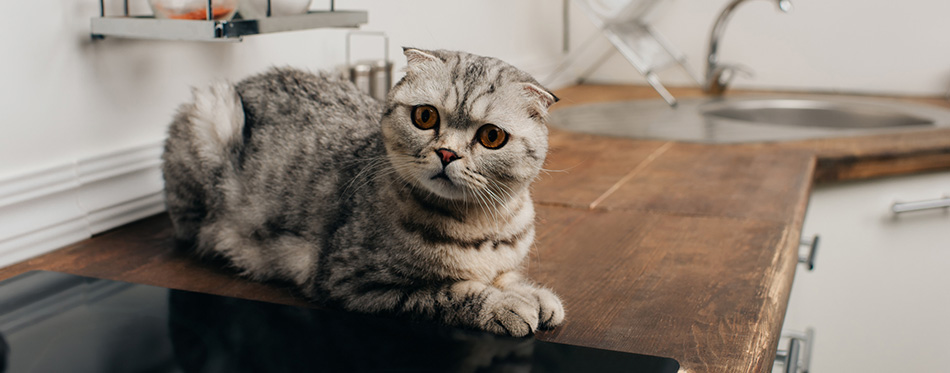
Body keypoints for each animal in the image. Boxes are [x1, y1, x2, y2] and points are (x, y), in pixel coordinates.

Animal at [163, 48, 564, 336]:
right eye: (425, 117)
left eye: (491, 136)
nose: (447, 153)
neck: (485, 223)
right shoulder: (356, 282)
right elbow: (451, 291)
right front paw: (504, 305)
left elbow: (507, 276)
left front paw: (532, 294)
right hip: (213, 113)